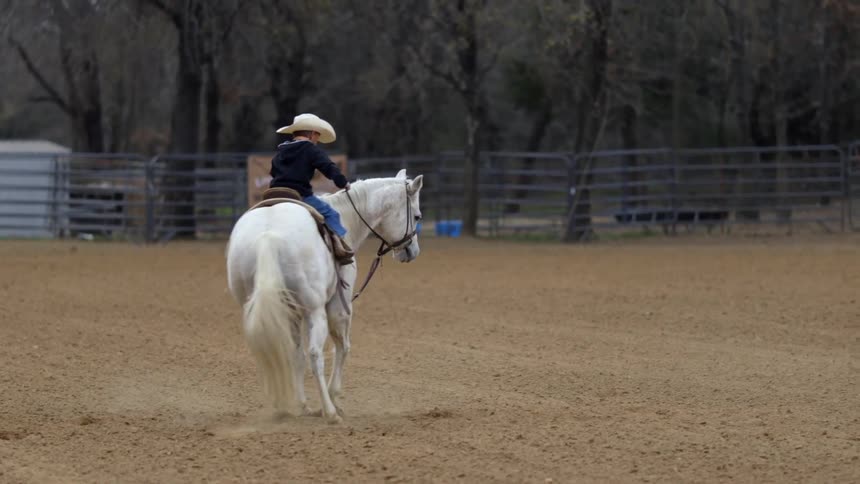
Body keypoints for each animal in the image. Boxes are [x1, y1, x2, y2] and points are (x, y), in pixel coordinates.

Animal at [225, 169, 424, 423]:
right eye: (417, 216)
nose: (412, 250)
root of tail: (267, 238)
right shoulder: (339, 305)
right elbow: (342, 346)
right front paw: (334, 397)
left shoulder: (292, 312)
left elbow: (296, 355)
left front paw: (302, 405)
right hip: (315, 311)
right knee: (315, 355)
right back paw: (329, 412)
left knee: (277, 351)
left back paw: (284, 407)